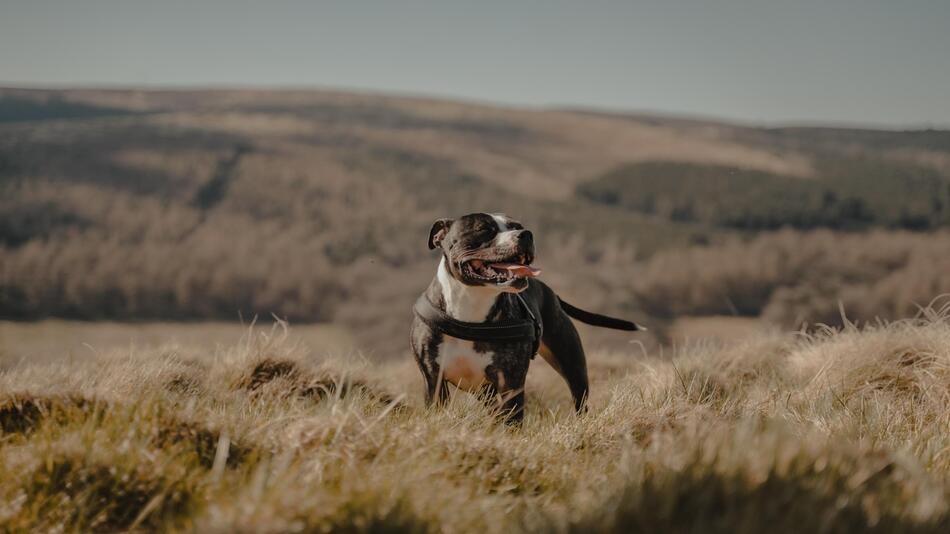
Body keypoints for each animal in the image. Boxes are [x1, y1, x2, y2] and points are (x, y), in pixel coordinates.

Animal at [410, 211, 648, 426]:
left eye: (517, 226)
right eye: (483, 229)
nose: (526, 234)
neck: (471, 310)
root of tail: (552, 293)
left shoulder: (511, 382)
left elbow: (511, 422)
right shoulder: (433, 380)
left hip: (572, 363)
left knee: (580, 400)